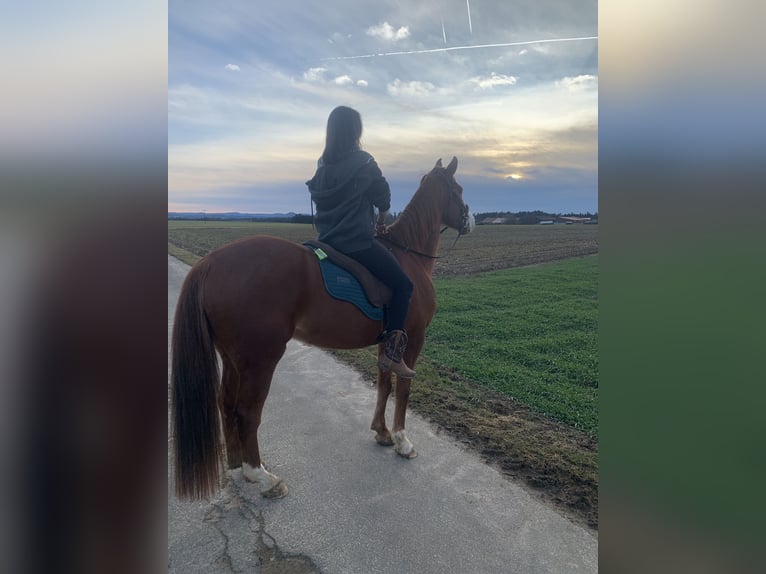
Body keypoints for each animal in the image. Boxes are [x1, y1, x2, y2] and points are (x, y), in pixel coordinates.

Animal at [171, 156, 473, 500]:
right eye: (458, 190)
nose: (470, 221)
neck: (408, 256)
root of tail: (210, 262)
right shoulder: (413, 340)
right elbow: (404, 388)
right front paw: (402, 440)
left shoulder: (388, 345)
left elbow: (384, 384)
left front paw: (382, 432)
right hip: (260, 360)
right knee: (246, 413)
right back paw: (261, 476)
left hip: (233, 358)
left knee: (225, 403)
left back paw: (237, 466)